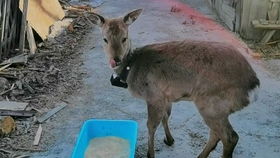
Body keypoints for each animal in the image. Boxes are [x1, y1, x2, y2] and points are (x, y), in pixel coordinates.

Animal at [88, 8, 260, 158]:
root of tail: (253, 83)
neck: (131, 69)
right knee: (217, 134)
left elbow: (151, 125)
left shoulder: (153, 95)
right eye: (105, 39)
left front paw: (150, 154)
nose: (115, 60)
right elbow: (166, 116)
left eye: (124, 38)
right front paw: (169, 140)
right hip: (218, 109)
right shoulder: (166, 95)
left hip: (212, 103)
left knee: (230, 137)